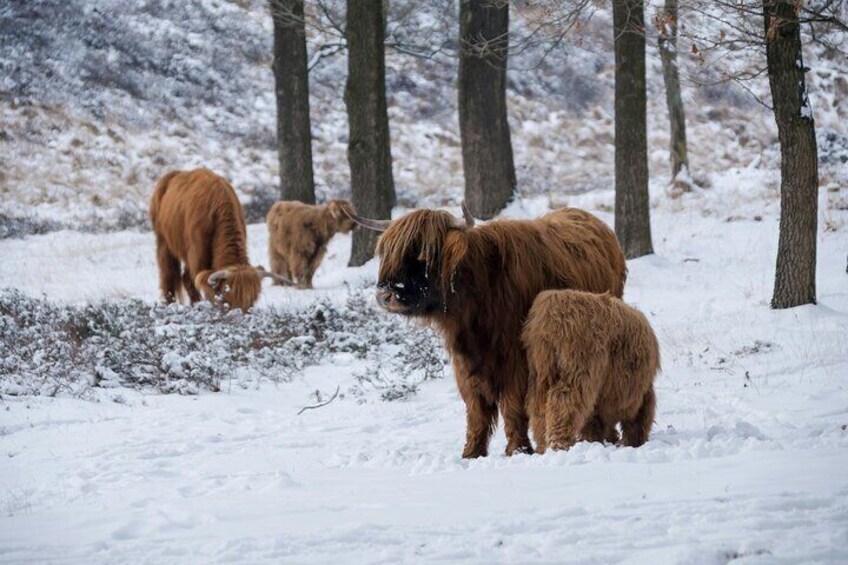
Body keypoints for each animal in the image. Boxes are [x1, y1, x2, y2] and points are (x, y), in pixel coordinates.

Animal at [148, 167, 288, 310]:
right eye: (228, 300)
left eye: (251, 302)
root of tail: (173, 174)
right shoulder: (197, 257)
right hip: (164, 243)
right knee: (168, 274)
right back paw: (171, 303)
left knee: (185, 278)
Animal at [346, 204, 628, 458]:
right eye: (388, 253)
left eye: (423, 255)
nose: (385, 294)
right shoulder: (466, 365)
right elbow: (476, 411)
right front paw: (471, 453)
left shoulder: (515, 362)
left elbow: (513, 406)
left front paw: (517, 450)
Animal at [520, 288, 660, 452]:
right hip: (578, 371)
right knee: (564, 403)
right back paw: (560, 444)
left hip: (541, 372)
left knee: (539, 408)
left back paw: (543, 446)